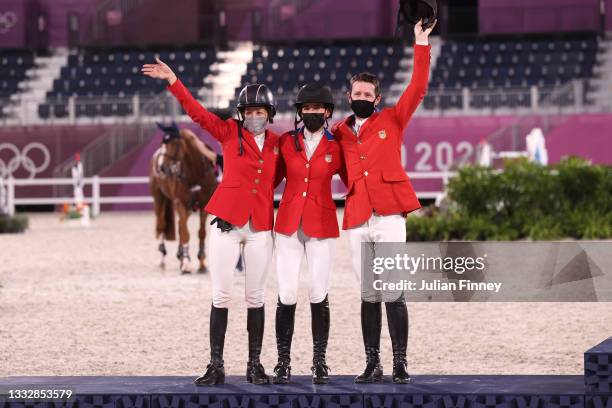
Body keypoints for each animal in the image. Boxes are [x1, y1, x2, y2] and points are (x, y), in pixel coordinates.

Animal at [150, 127, 218, 274]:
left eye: (174, 143)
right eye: (162, 144)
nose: (161, 167)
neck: (195, 173)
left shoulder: (203, 206)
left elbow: (201, 233)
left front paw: (201, 263)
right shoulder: (180, 203)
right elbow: (186, 233)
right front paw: (186, 263)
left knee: (180, 225)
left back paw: (180, 256)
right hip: (160, 200)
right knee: (162, 225)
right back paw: (163, 259)